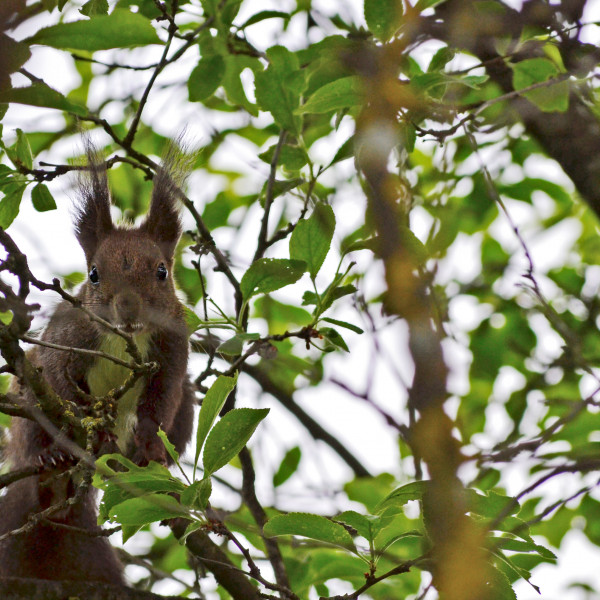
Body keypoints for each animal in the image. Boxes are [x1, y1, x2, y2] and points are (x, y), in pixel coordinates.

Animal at [0, 139, 195, 580]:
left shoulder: (173, 352)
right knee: (33, 433)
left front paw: (151, 447)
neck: (128, 341)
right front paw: (95, 432)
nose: (127, 309)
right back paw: (50, 457)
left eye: (162, 271)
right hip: (24, 401)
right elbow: (61, 386)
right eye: (92, 274)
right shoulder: (65, 341)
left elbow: (163, 399)